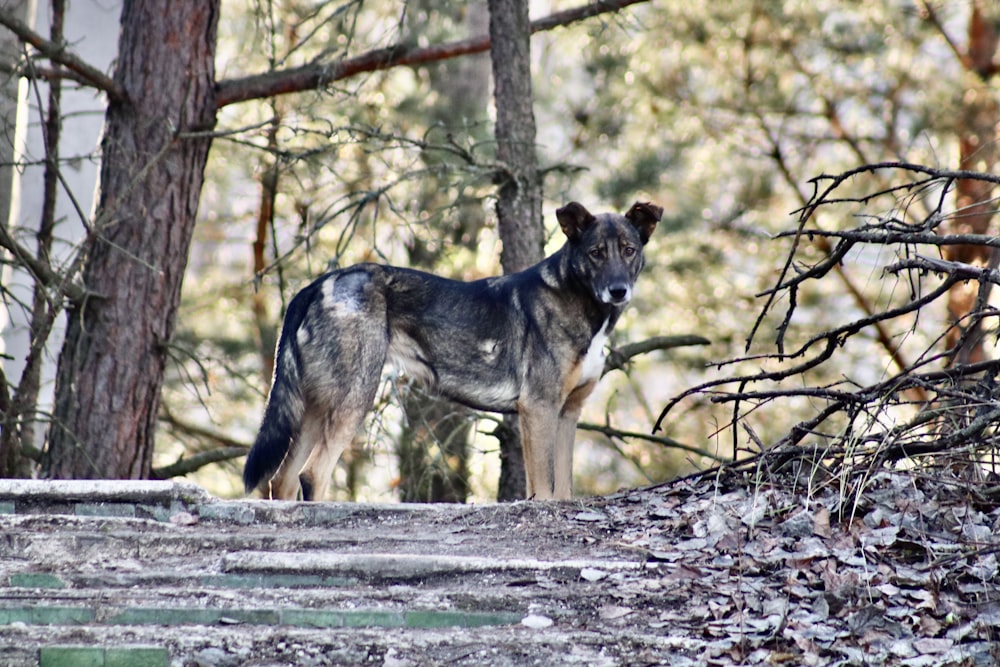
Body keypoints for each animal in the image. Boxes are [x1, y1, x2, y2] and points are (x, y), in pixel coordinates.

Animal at [243, 201, 660, 498]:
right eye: (595, 253)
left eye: (628, 250)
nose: (618, 291)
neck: (578, 300)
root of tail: (319, 283)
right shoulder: (538, 408)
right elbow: (542, 490)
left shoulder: (567, 413)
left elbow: (563, 491)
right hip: (353, 396)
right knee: (311, 474)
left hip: (315, 405)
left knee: (281, 480)